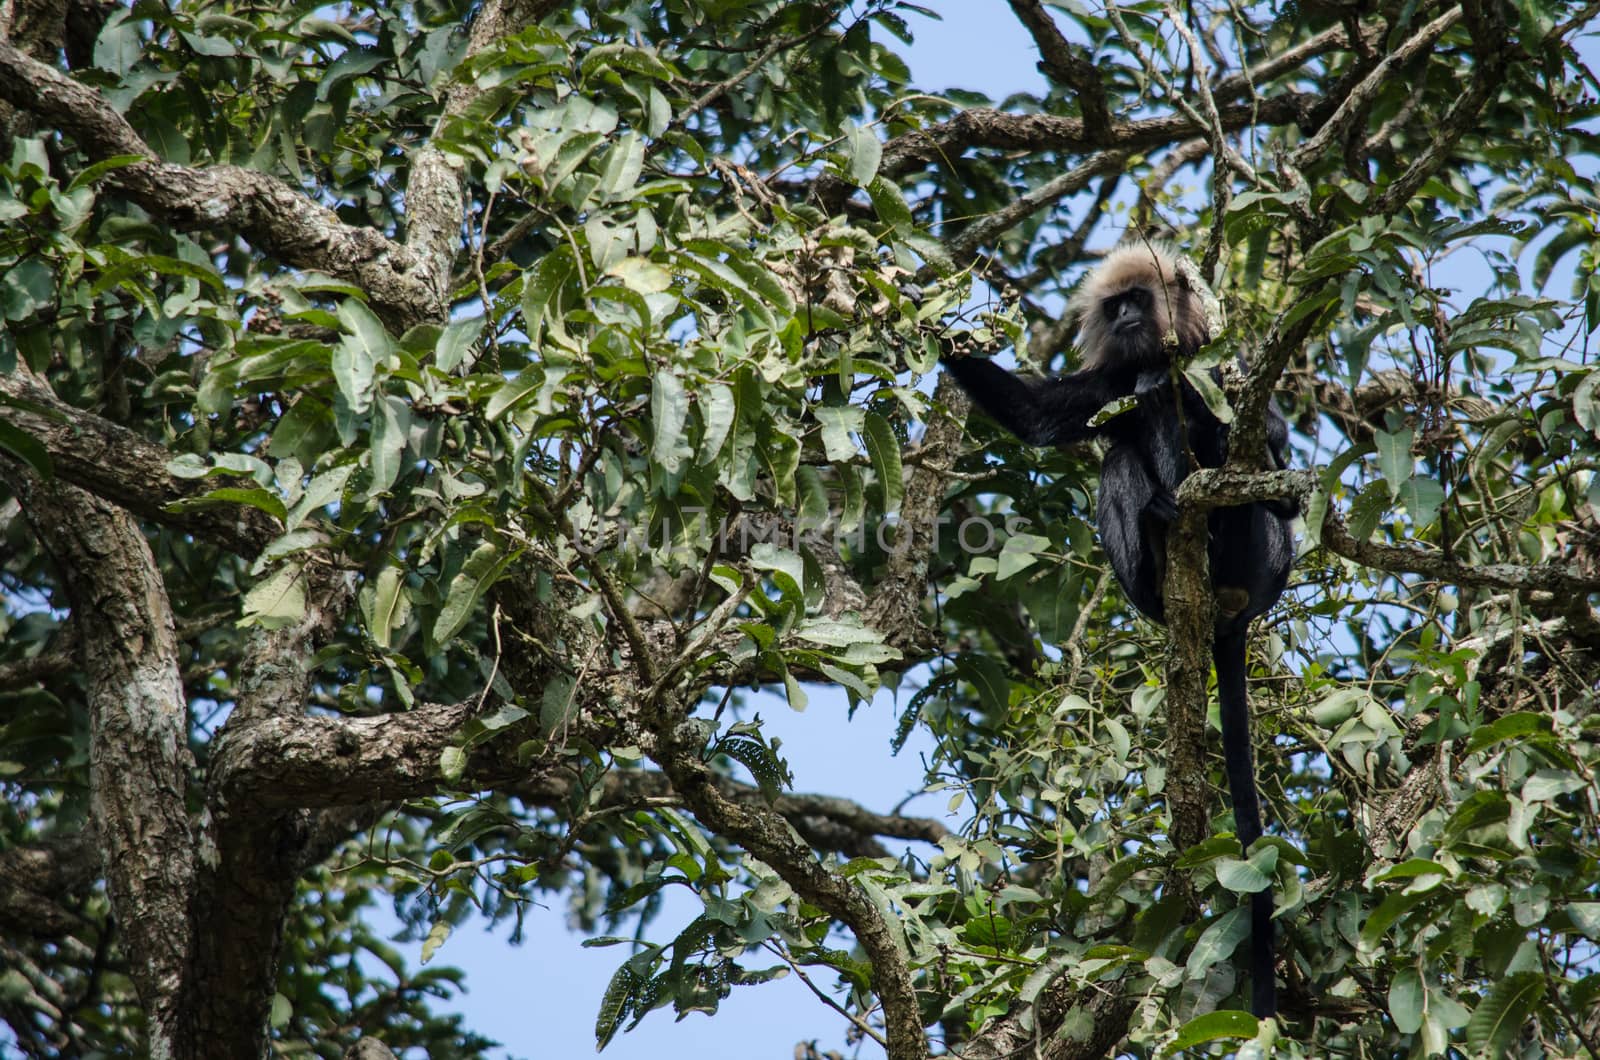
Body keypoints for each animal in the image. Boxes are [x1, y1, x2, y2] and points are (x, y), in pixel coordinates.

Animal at [940, 240, 1292, 1024]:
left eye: (1140, 298)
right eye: (1115, 305)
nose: (1130, 319)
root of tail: (1236, 612)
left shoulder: (1227, 369)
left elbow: (1278, 464)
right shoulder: (1110, 377)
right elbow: (1042, 417)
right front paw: (934, 330)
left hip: (1265, 558)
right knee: (1125, 453)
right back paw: (1162, 523)